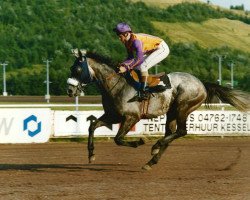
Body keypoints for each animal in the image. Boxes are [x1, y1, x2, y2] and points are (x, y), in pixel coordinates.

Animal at [67, 50, 250, 170]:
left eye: (77, 69)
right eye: (71, 68)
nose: (69, 90)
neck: (117, 85)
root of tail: (202, 84)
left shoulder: (131, 117)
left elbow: (118, 139)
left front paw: (139, 141)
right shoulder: (113, 115)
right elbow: (92, 126)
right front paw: (91, 155)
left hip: (183, 107)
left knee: (181, 131)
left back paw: (155, 146)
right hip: (172, 113)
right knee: (171, 134)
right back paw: (151, 161)